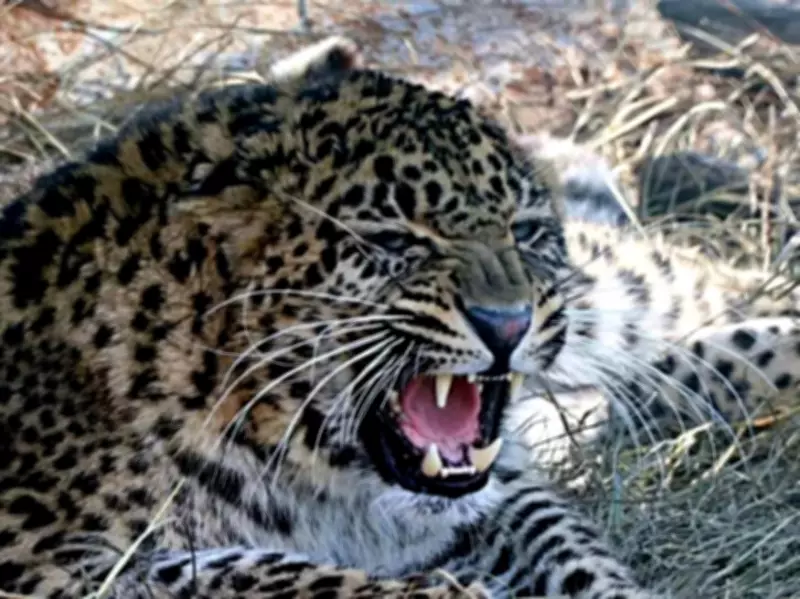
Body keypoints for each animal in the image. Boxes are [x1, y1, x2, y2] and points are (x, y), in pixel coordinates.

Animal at [1, 34, 799, 599]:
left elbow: (566, 546)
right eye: (394, 244)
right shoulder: (40, 556)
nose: (507, 325)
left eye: (526, 233)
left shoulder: (497, 488)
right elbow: (258, 575)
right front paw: (447, 593)